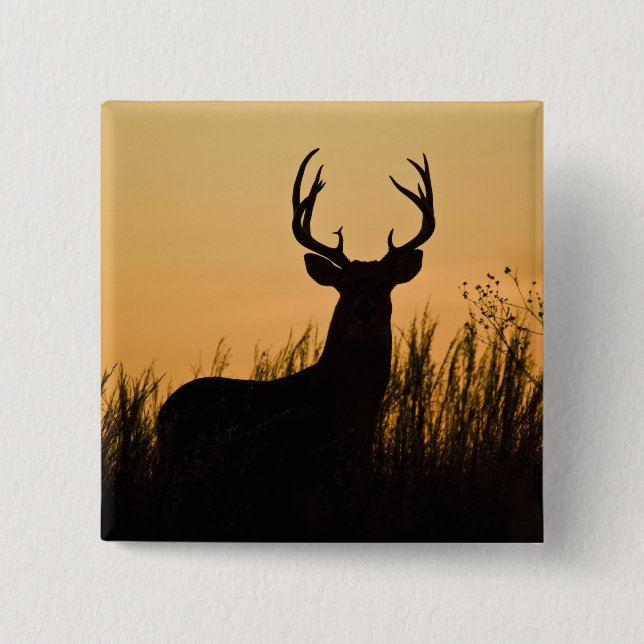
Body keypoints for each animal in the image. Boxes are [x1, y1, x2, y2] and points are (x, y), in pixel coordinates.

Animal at [154, 149, 435, 539]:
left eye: (384, 283)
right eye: (344, 284)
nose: (365, 309)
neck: (345, 407)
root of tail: (164, 410)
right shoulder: (302, 471)